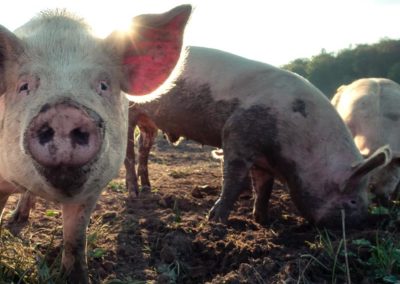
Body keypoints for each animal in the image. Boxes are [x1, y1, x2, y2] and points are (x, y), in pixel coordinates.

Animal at [0, 5, 191, 282]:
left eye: (103, 84)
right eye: (24, 86)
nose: (64, 113)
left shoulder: (92, 191)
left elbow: (75, 241)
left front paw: (77, 277)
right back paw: (16, 221)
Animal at [124, 47, 390, 229]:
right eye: (353, 201)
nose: (364, 224)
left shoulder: (264, 160)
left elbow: (264, 187)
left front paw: (263, 220)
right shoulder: (236, 135)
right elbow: (233, 180)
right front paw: (215, 221)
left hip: (149, 123)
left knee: (143, 147)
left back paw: (148, 188)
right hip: (129, 111)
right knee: (128, 152)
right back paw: (134, 193)